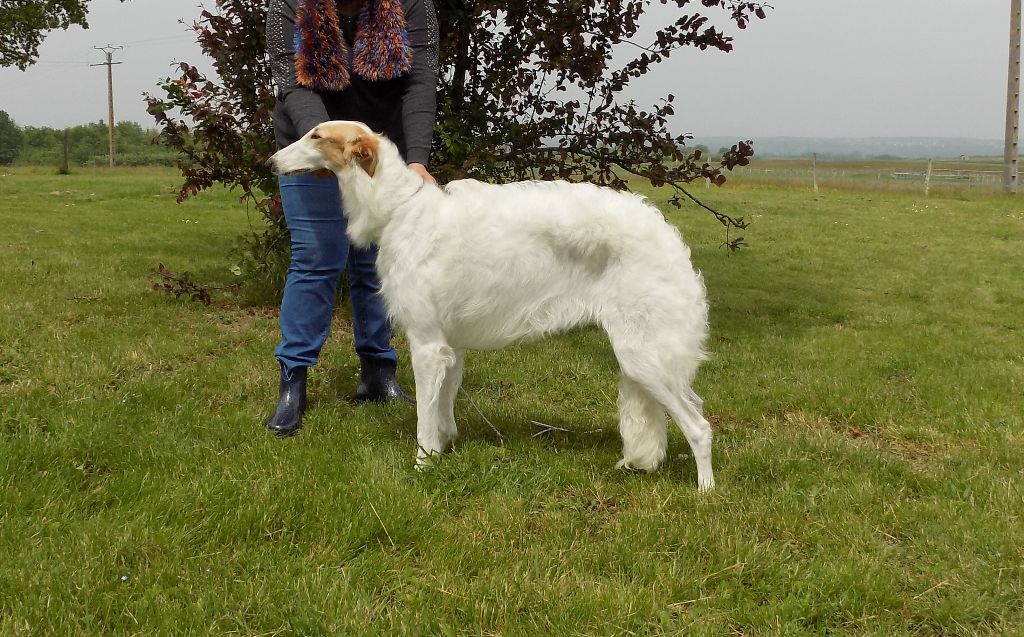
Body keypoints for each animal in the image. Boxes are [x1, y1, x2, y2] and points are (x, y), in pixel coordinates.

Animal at [272, 122, 720, 491]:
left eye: (316, 135)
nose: (271, 160)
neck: (402, 209)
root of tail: (667, 236)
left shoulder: (427, 344)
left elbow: (424, 419)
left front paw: (422, 465)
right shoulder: (451, 347)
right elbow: (443, 410)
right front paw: (444, 449)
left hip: (642, 356)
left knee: (700, 427)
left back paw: (705, 491)